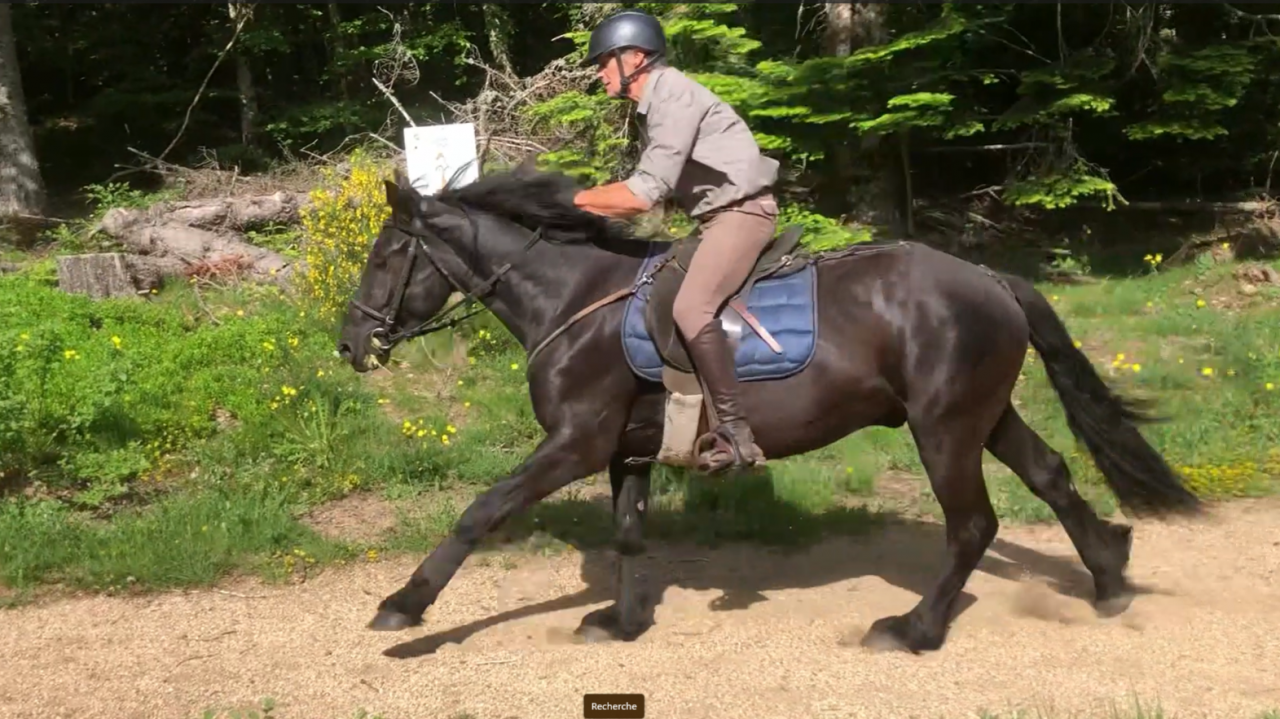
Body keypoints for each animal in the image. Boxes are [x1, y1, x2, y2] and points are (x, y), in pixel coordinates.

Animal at [336, 166, 1202, 654]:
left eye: (385, 255)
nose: (350, 343)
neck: (574, 299)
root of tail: (989, 277)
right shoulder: (626, 448)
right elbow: (629, 533)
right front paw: (621, 622)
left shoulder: (576, 442)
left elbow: (481, 510)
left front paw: (403, 606)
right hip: (982, 414)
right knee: (1052, 474)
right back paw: (1109, 574)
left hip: (944, 427)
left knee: (972, 525)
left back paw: (913, 629)